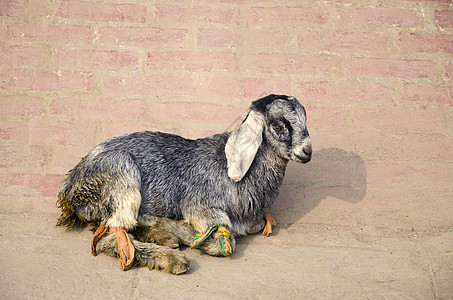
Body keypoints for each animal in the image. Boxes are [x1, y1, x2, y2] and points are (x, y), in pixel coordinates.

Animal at [55, 94, 310, 274]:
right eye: (279, 126)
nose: (307, 151)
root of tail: (70, 189)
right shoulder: (202, 207)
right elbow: (224, 242)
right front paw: (189, 235)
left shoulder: (253, 221)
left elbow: (257, 225)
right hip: (120, 176)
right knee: (112, 237)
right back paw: (171, 257)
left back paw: (163, 237)